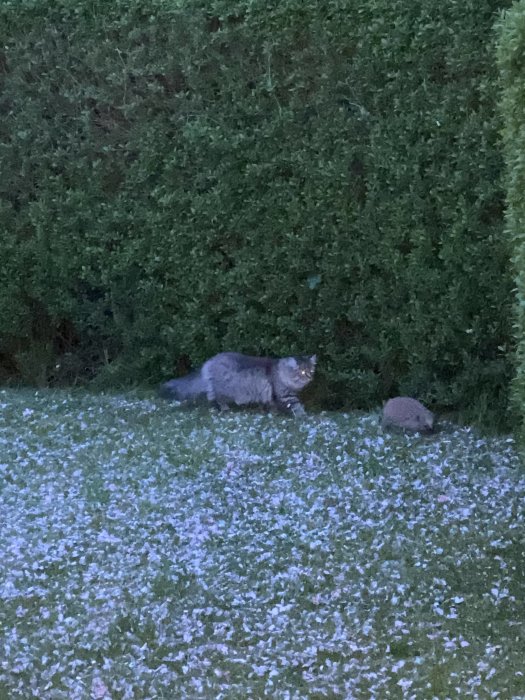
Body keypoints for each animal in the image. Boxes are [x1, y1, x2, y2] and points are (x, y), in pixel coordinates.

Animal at [159, 352, 316, 412]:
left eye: (311, 371)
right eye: (302, 372)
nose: (309, 377)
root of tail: (209, 362)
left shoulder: (272, 396)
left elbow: (272, 405)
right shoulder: (286, 395)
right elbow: (297, 406)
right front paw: (304, 417)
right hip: (224, 389)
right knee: (216, 398)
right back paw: (225, 409)